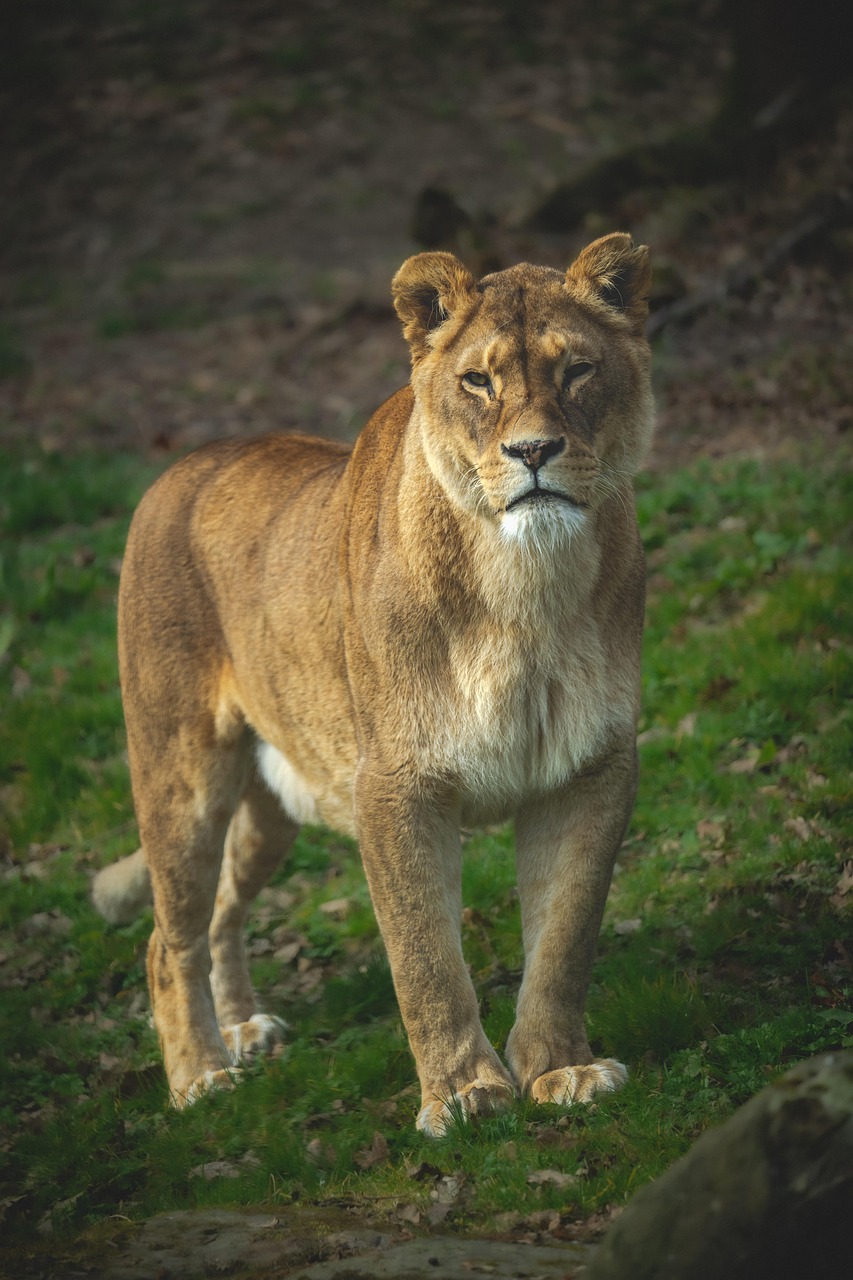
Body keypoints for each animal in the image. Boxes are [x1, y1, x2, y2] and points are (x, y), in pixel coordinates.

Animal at [92, 232, 653, 1135]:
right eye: (477, 381)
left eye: (577, 371)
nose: (532, 452)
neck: (524, 587)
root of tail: (178, 467)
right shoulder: (393, 785)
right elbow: (424, 956)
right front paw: (463, 1095)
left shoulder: (589, 767)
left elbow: (564, 939)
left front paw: (558, 1071)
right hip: (182, 772)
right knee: (166, 937)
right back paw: (200, 1078)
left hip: (272, 803)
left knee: (220, 908)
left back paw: (242, 1030)